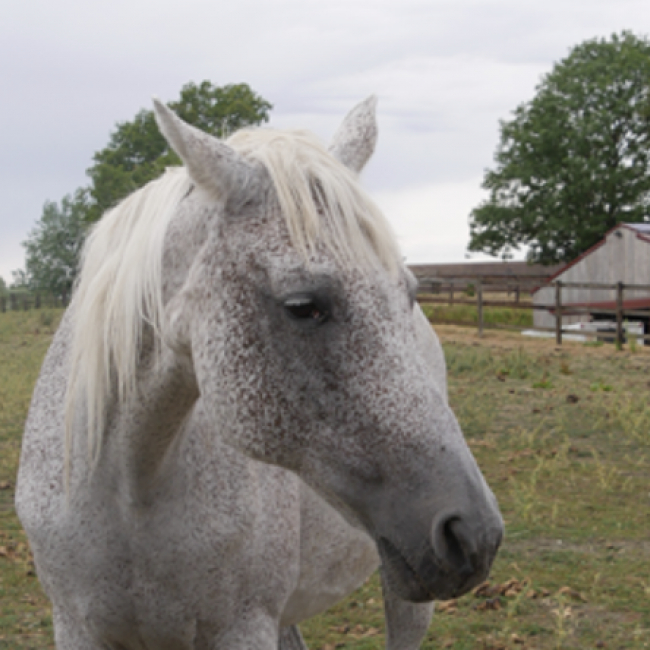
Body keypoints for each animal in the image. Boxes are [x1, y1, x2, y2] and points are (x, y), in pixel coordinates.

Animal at [15, 96, 503, 650]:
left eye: (409, 292)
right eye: (302, 306)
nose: (475, 534)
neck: (129, 488)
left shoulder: (243, 626)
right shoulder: (77, 627)